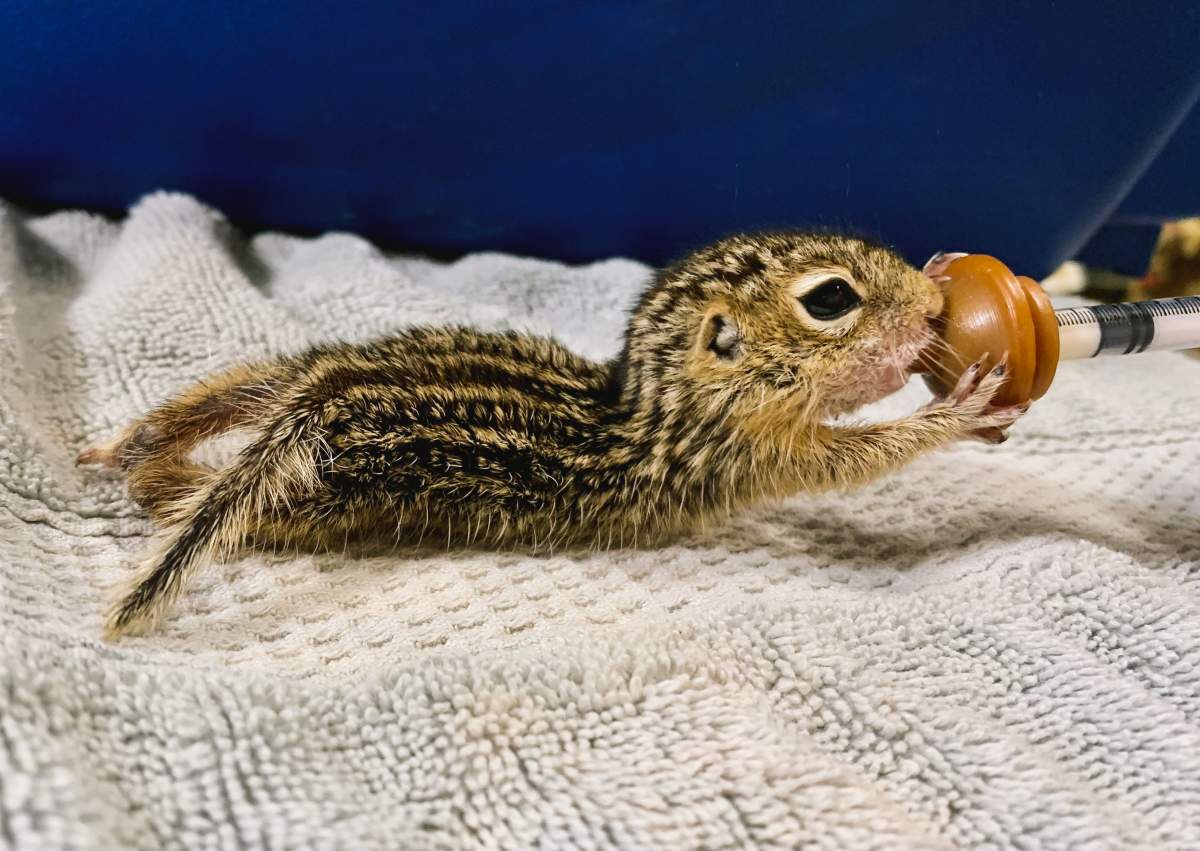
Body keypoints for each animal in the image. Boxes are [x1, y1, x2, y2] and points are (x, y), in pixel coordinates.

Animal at [78, 232, 1023, 638]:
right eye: (831, 299)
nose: (933, 305)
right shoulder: (745, 453)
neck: (648, 398)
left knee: (212, 403)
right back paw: (153, 478)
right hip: (320, 492)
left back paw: (121, 445)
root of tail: (329, 392)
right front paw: (958, 411)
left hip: (290, 375)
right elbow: (857, 456)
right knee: (197, 497)